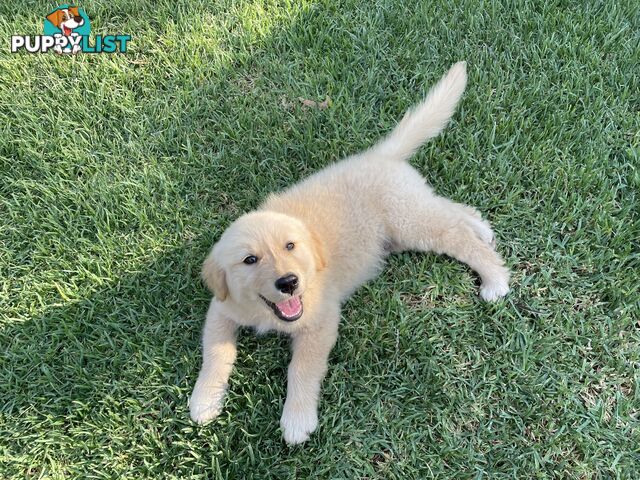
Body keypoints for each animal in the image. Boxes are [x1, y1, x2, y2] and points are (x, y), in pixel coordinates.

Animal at [189, 62, 510, 444]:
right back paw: (482, 227)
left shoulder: (321, 322)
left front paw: (297, 419)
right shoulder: (221, 309)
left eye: (290, 246)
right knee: (454, 214)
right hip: (412, 216)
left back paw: (494, 277)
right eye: (250, 260)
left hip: (410, 222)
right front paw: (205, 400)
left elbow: (302, 368)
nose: (289, 282)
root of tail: (380, 155)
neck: (268, 313)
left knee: (457, 237)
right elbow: (215, 353)